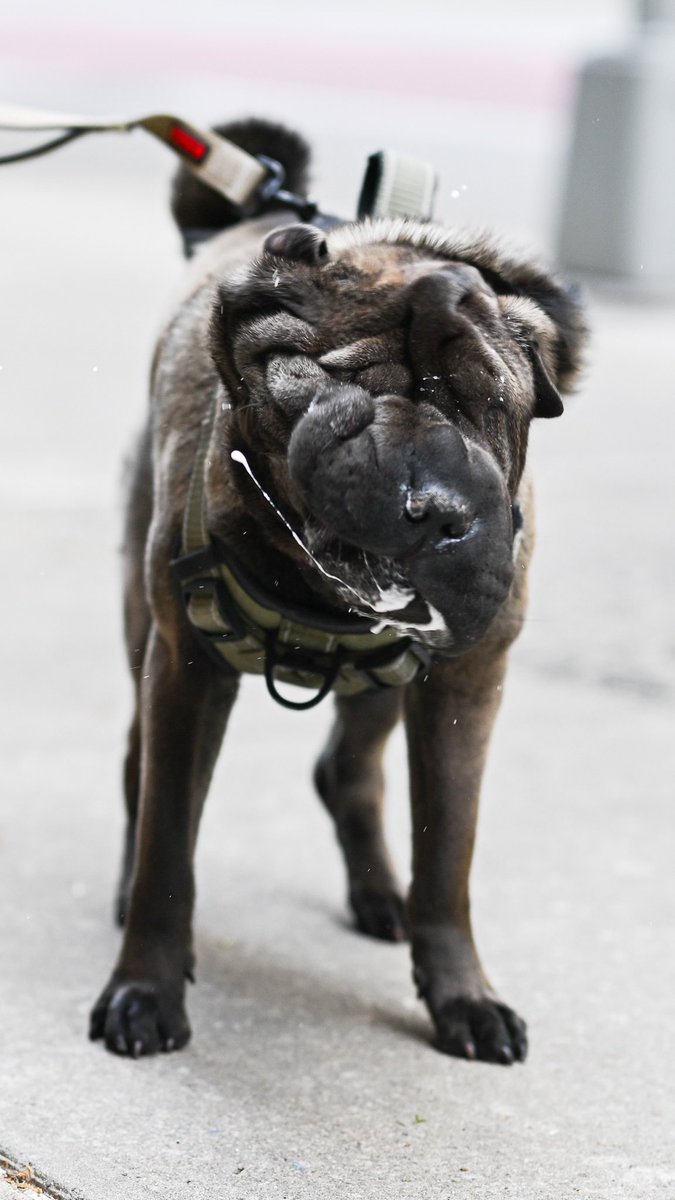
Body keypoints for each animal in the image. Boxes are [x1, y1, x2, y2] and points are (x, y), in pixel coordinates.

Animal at [89, 119, 583, 1060]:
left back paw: (381, 895)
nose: (432, 504)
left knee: (348, 771)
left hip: (386, 682)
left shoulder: (464, 686)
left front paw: (462, 994)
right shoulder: (187, 670)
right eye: (328, 383)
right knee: (140, 771)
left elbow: (447, 852)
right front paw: (144, 988)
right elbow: (171, 846)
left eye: (484, 404)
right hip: (143, 631)